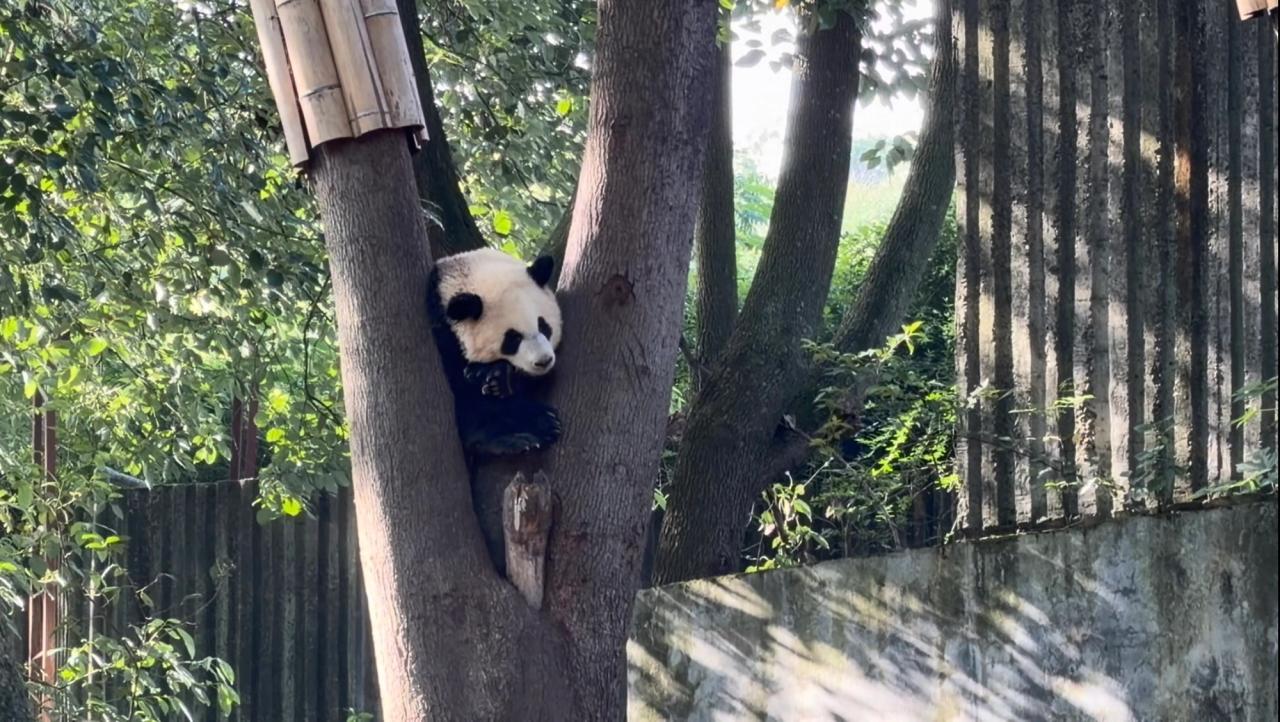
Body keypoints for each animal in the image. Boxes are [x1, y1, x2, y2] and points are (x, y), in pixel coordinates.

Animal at [427, 248, 562, 455]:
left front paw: (498, 378)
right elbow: (468, 396)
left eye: (543, 325)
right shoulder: (443, 335)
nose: (544, 361)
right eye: (513, 338)